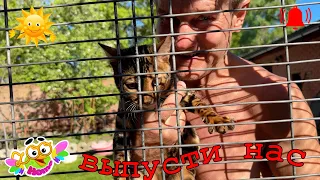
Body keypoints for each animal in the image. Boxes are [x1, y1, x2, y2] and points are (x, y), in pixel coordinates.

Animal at [98, 35, 235, 179]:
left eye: (156, 82)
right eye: (132, 85)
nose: (147, 100)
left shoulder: (181, 93)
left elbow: (200, 104)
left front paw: (218, 119)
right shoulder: (121, 124)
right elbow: (120, 153)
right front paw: (121, 174)